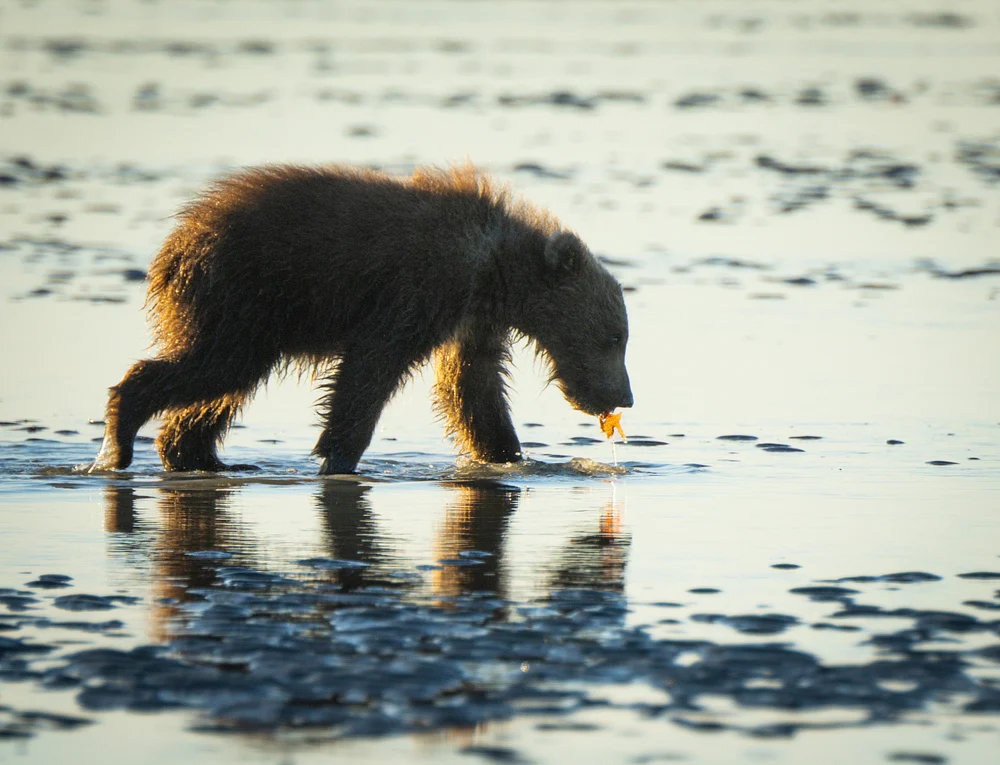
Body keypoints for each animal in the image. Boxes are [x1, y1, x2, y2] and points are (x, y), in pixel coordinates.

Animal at [89, 163, 633, 475]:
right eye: (613, 338)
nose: (625, 396)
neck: (493, 268)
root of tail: (174, 246)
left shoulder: (471, 318)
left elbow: (471, 386)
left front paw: (508, 453)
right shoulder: (422, 286)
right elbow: (373, 366)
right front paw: (339, 454)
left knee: (219, 391)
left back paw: (199, 455)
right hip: (239, 297)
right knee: (210, 368)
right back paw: (118, 443)